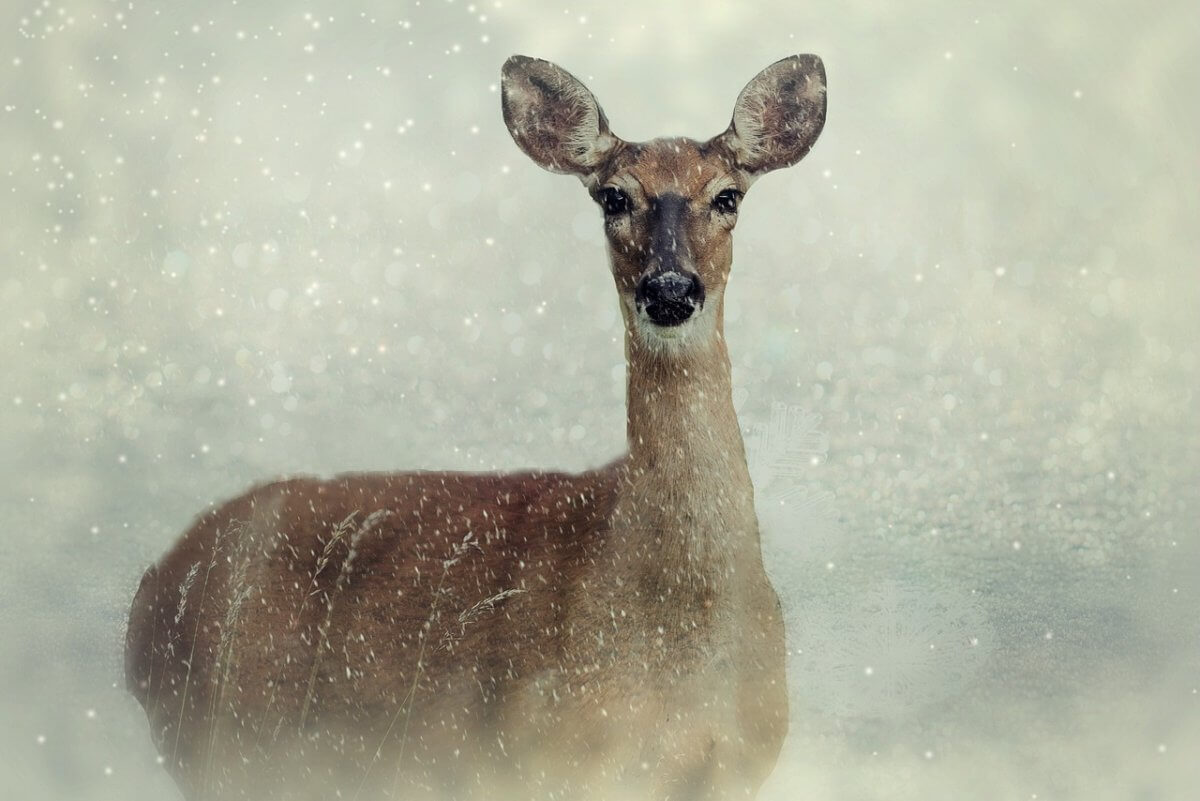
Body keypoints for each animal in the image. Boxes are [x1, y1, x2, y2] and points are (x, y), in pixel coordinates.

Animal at [126, 53, 830, 796]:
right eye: (611, 197)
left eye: (728, 196)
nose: (670, 290)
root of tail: (147, 596)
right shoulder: (542, 757)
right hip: (223, 742)